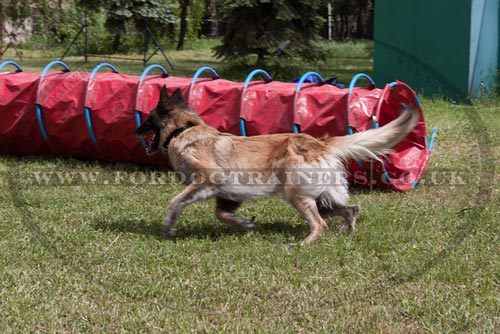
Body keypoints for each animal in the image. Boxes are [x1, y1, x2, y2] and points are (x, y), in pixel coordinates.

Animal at [135, 86, 420, 245]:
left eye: (148, 119)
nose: (135, 129)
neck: (184, 130)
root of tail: (320, 143)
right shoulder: (228, 193)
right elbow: (221, 213)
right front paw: (244, 224)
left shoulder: (208, 179)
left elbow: (175, 202)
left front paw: (168, 227)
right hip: (322, 198)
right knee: (351, 209)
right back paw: (346, 234)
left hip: (298, 196)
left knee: (320, 225)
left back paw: (302, 244)